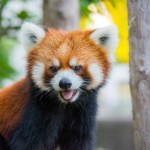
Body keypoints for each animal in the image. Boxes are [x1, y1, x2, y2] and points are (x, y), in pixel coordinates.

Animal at [0, 21, 118, 149]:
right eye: (53, 68)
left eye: (77, 68)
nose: (65, 83)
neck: (65, 106)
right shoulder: (34, 113)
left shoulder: (83, 114)